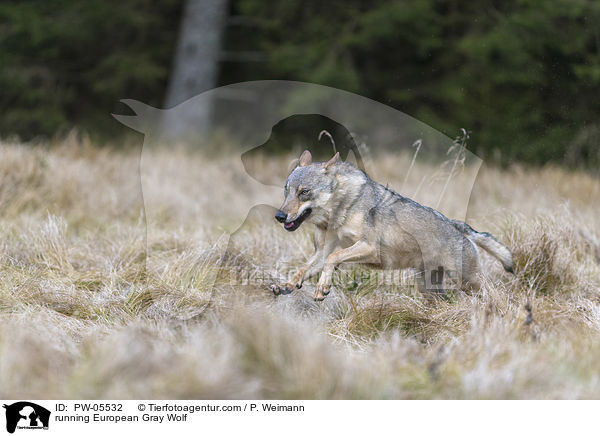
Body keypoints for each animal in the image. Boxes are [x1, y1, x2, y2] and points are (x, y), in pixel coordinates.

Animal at [272, 150, 510, 300]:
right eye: (286, 190)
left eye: (304, 192)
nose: (279, 216)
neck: (342, 209)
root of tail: (456, 225)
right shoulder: (321, 251)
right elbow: (303, 269)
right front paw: (287, 285)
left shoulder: (368, 247)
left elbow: (333, 258)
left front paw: (322, 288)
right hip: (429, 289)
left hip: (468, 282)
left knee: (492, 293)